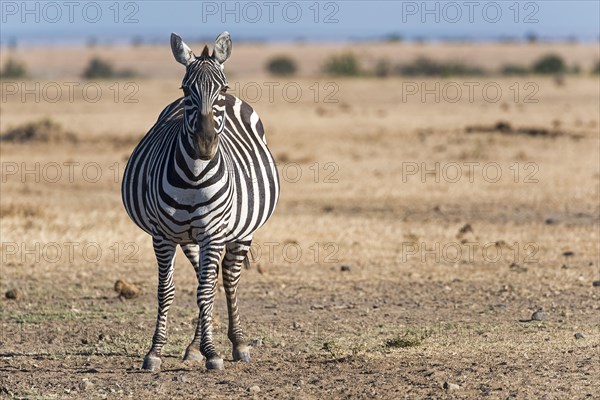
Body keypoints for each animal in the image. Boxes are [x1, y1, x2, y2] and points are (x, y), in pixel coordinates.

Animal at [123, 32, 282, 372]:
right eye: (186, 90)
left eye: (222, 89)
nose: (205, 145)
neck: (195, 175)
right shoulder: (163, 235)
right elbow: (167, 290)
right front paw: (156, 351)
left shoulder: (212, 232)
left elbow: (207, 291)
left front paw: (213, 352)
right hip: (190, 238)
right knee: (203, 279)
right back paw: (194, 346)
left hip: (240, 232)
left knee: (227, 279)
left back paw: (237, 344)